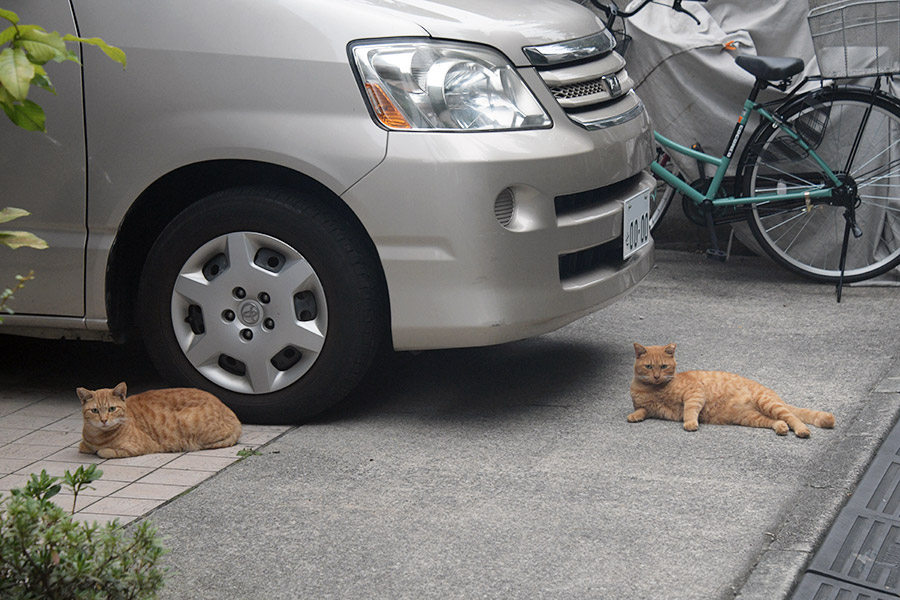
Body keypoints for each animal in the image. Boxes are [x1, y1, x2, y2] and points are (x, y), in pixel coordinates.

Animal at [78, 382, 243, 458]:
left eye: (112, 409)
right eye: (95, 411)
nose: (104, 420)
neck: (97, 437)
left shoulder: (140, 447)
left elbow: (105, 452)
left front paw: (102, 450)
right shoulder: (85, 444)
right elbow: (83, 446)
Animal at [628, 344, 832, 438]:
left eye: (663, 366)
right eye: (648, 366)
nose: (656, 376)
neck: (654, 389)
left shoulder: (695, 393)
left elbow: (690, 410)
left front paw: (690, 423)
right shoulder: (649, 408)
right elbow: (641, 410)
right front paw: (633, 417)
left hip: (767, 403)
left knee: (793, 417)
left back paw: (802, 430)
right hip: (751, 418)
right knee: (778, 420)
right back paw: (781, 428)